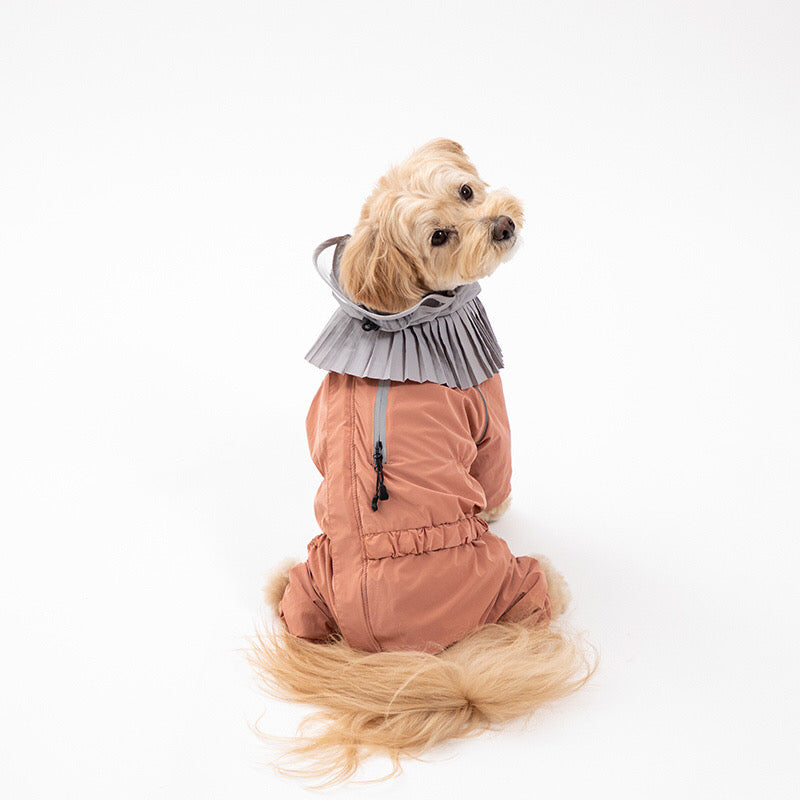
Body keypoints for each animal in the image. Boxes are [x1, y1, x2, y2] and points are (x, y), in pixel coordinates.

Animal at [250, 139, 592, 788]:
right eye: (439, 237)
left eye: (465, 191)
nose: (502, 224)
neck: (401, 316)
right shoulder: (488, 413)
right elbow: (497, 474)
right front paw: (499, 507)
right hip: (508, 579)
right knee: (536, 595)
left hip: (312, 576)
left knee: (289, 601)